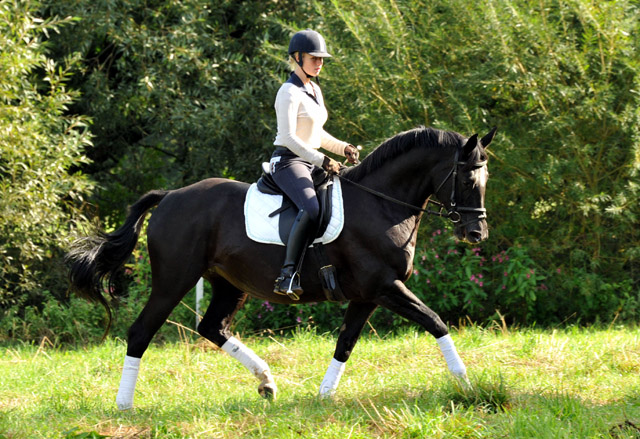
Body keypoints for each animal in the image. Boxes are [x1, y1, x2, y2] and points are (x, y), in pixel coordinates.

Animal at [67, 125, 496, 410]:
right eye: (467, 177)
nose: (477, 232)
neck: (381, 204)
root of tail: (170, 195)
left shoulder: (368, 295)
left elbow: (345, 342)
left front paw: (324, 395)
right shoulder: (385, 287)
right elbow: (435, 321)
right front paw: (466, 385)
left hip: (228, 284)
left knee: (212, 327)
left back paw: (267, 382)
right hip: (174, 281)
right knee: (141, 332)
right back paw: (125, 405)